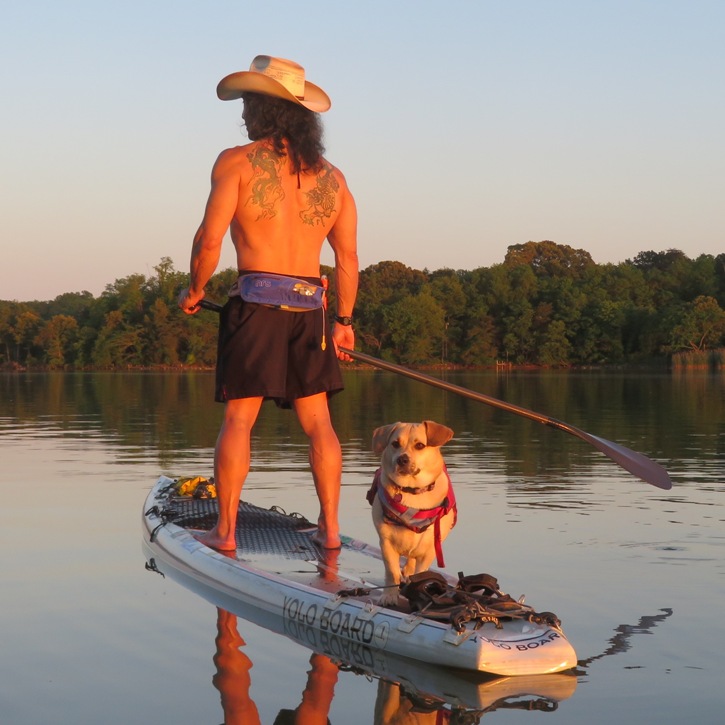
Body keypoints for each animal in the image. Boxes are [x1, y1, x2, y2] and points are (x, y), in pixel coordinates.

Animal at [370, 418, 456, 604]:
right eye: (395, 444)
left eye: (420, 445)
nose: (402, 459)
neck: (412, 490)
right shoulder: (386, 543)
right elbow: (392, 572)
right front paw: (389, 595)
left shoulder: (430, 549)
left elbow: (420, 573)